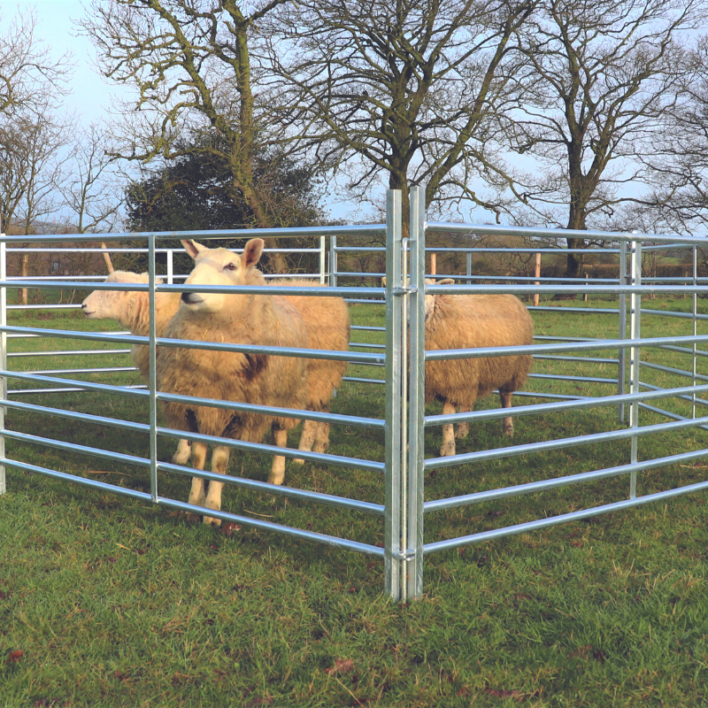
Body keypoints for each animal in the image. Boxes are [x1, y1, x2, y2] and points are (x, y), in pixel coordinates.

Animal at [159, 238, 308, 524]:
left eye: (231, 266)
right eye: (195, 263)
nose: (187, 293)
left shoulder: (235, 411)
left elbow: (218, 462)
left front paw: (212, 511)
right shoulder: (197, 406)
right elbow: (198, 459)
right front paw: (193, 504)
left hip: (282, 397)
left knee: (279, 437)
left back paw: (276, 478)